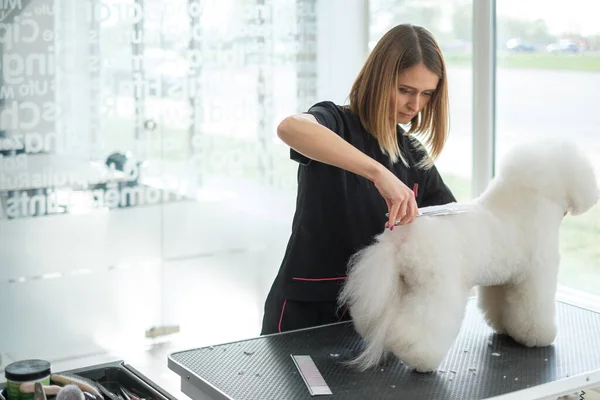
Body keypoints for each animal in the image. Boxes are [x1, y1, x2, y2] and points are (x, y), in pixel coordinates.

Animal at [340, 140, 596, 372]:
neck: (526, 203)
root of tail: (401, 237)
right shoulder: (535, 276)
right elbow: (534, 311)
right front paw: (538, 337)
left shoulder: (503, 281)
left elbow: (501, 305)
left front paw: (505, 328)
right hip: (436, 288)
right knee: (422, 327)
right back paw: (419, 358)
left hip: (402, 286)